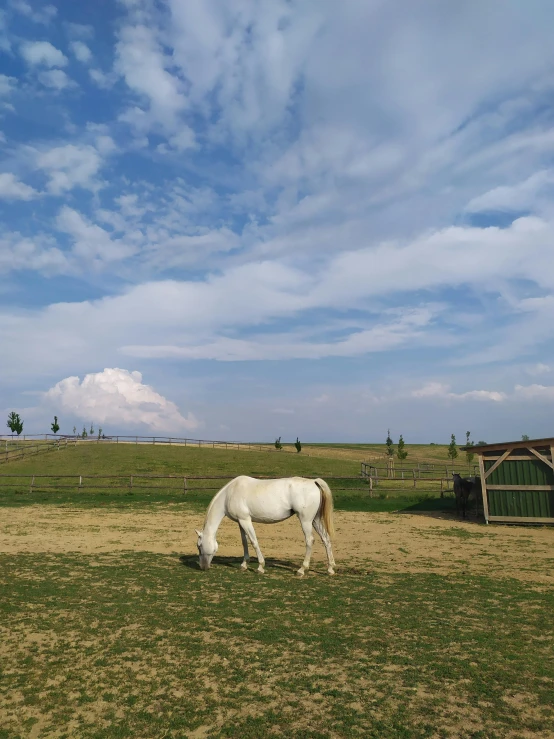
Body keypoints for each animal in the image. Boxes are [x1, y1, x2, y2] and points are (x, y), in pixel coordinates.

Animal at [194, 476, 334, 576]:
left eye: (199, 546)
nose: (202, 567)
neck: (230, 493)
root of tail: (314, 482)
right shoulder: (240, 521)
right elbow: (244, 542)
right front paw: (244, 565)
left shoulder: (245, 520)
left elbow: (254, 541)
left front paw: (260, 567)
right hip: (315, 520)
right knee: (326, 539)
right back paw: (330, 569)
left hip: (306, 521)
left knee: (310, 540)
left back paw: (302, 570)